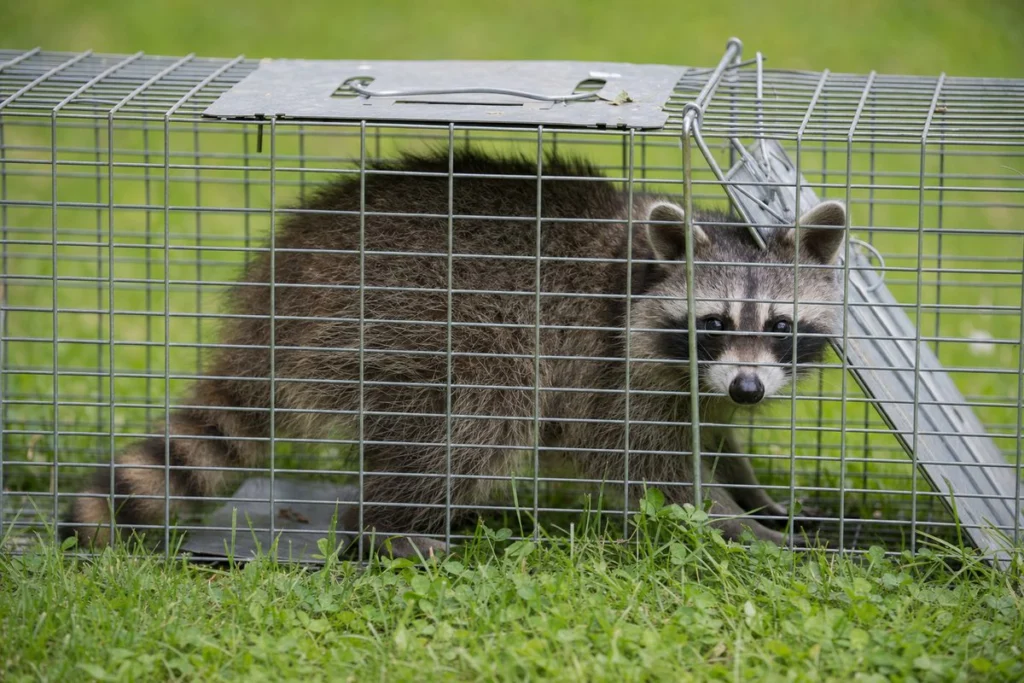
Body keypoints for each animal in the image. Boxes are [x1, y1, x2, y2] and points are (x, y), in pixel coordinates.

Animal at [61, 149, 845, 557]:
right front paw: (737, 526)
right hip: (404, 322)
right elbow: (646, 466)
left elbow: (712, 439)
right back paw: (387, 531)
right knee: (479, 413)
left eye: (780, 325)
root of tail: (275, 295)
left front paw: (758, 497)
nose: (748, 391)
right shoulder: (610, 365)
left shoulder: (696, 383)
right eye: (713, 320)